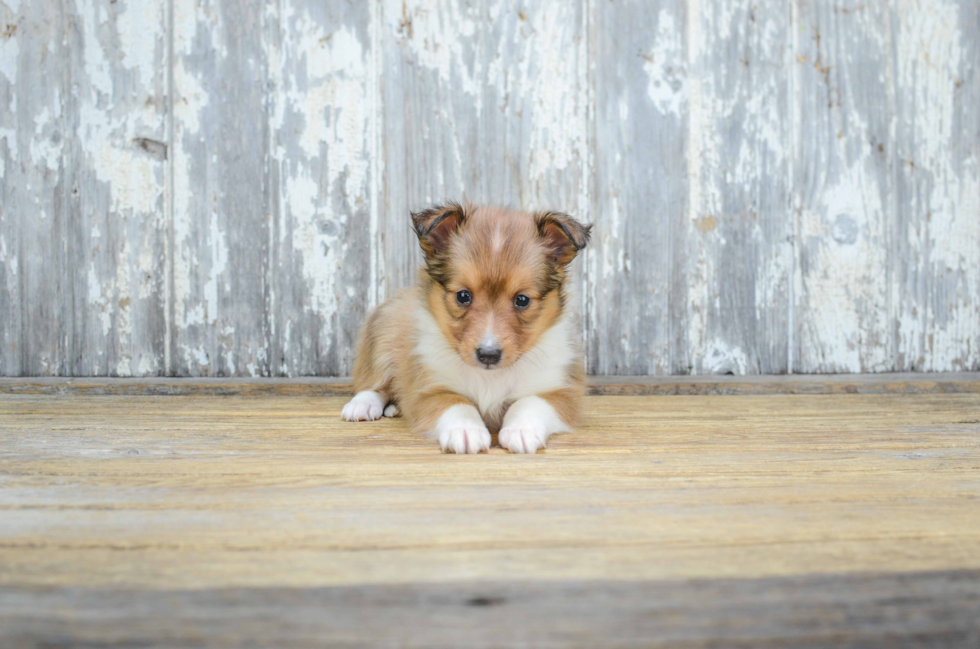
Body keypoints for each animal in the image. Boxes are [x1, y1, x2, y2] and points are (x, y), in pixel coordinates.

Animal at [342, 201, 588, 450]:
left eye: (522, 300)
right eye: (463, 296)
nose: (488, 355)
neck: (490, 378)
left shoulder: (562, 390)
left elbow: (529, 402)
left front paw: (522, 430)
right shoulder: (429, 387)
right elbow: (457, 403)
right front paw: (465, 430)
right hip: (384, 333)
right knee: (374, 383)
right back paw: (362, 405)